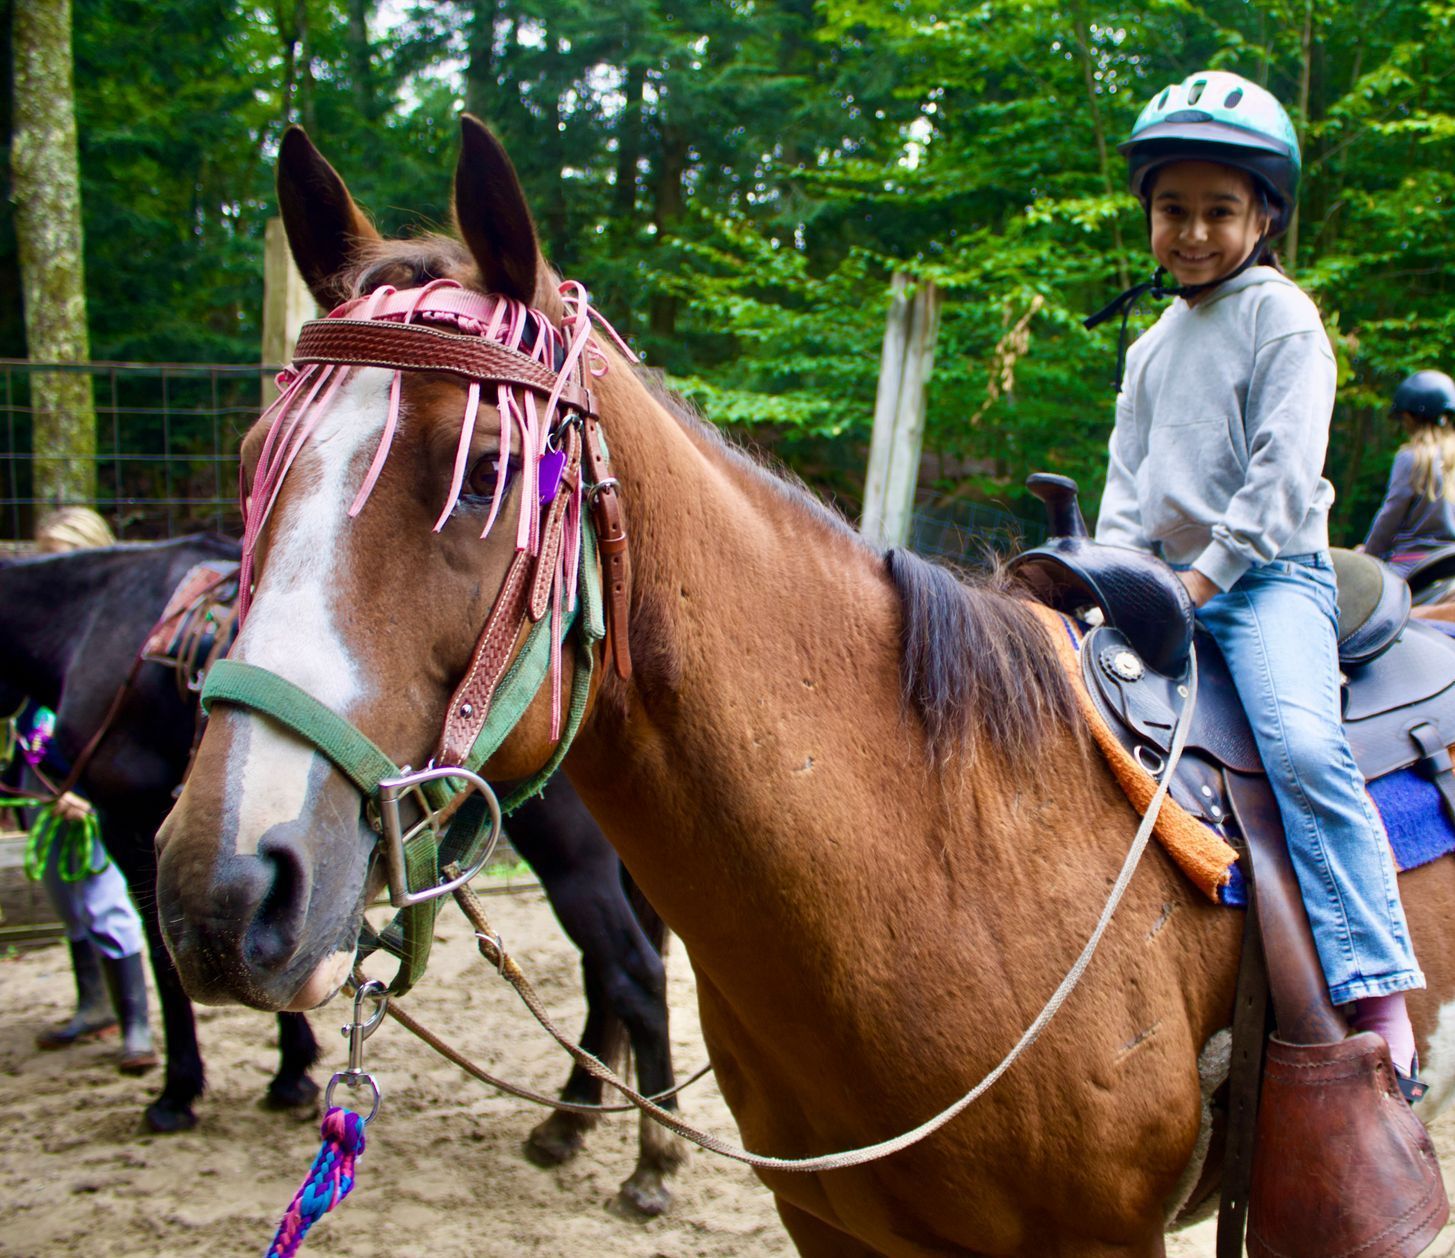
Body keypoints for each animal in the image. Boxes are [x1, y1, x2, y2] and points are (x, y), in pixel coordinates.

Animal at [154, 120, 1455, 1256]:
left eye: (485, 473)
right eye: (257, 461)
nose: (225, 888)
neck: (944, 850)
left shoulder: (1102, 1237)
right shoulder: (833, 1224)